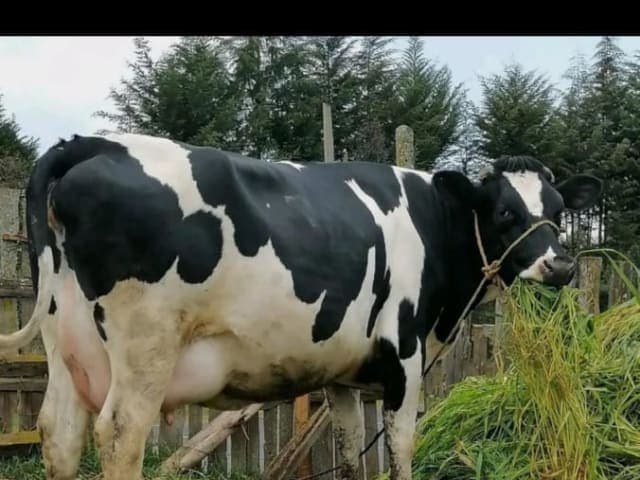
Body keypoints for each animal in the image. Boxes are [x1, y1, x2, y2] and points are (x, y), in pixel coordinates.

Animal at [0, 132, 602, 480]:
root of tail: (92, 143)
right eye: (504, 213)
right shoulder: (404, 356)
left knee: (60, 433)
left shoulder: (344, 374)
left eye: (556, 209)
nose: (561, 266)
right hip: (146, 346)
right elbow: (402, 445)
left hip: (66, 338)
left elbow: (352, 447)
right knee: (121, 434)